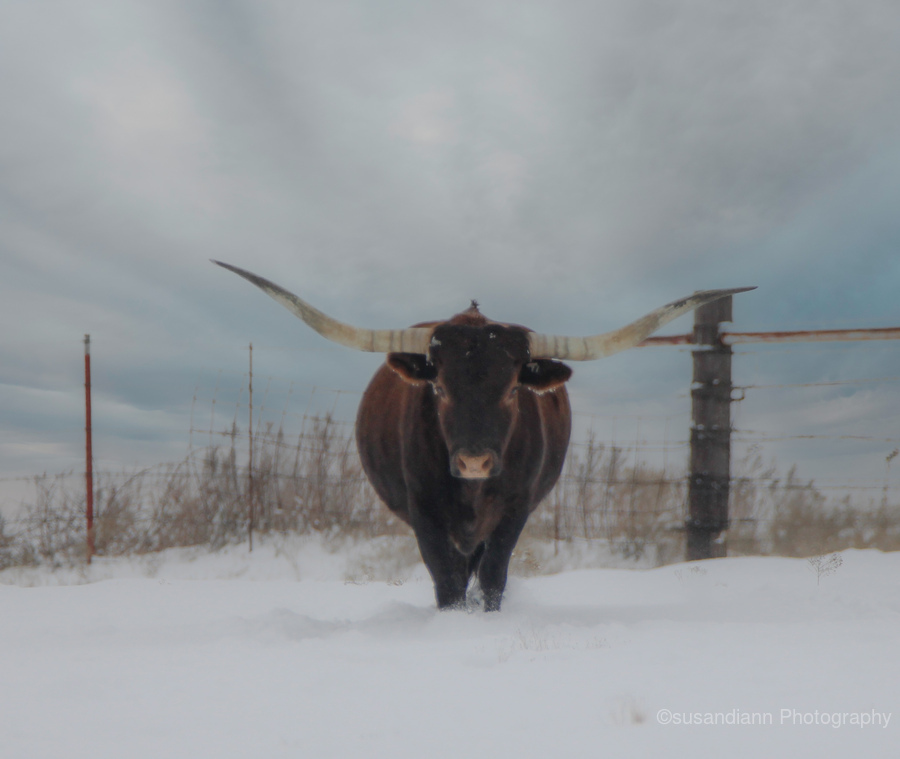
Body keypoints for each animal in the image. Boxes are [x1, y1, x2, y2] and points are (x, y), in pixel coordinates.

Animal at [214, 260, 752, 610]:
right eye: (438, 386)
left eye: (513, 388)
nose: (475, 461)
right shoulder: (423, 512)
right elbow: (445, 579)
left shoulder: (516, 508)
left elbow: (493, 575)